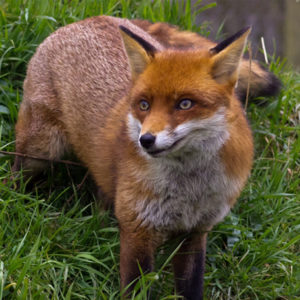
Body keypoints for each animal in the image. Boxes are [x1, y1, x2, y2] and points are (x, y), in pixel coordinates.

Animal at [12, 15, 280, 298]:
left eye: (185, 104)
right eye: (144, 105)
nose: (145, 140)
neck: (189, 189)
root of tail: (95, 18)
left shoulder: (195, 232)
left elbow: (191, 286)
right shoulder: (137, 229)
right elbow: (135, 288)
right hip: (40, 150)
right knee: (16, 173)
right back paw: (15, 199)